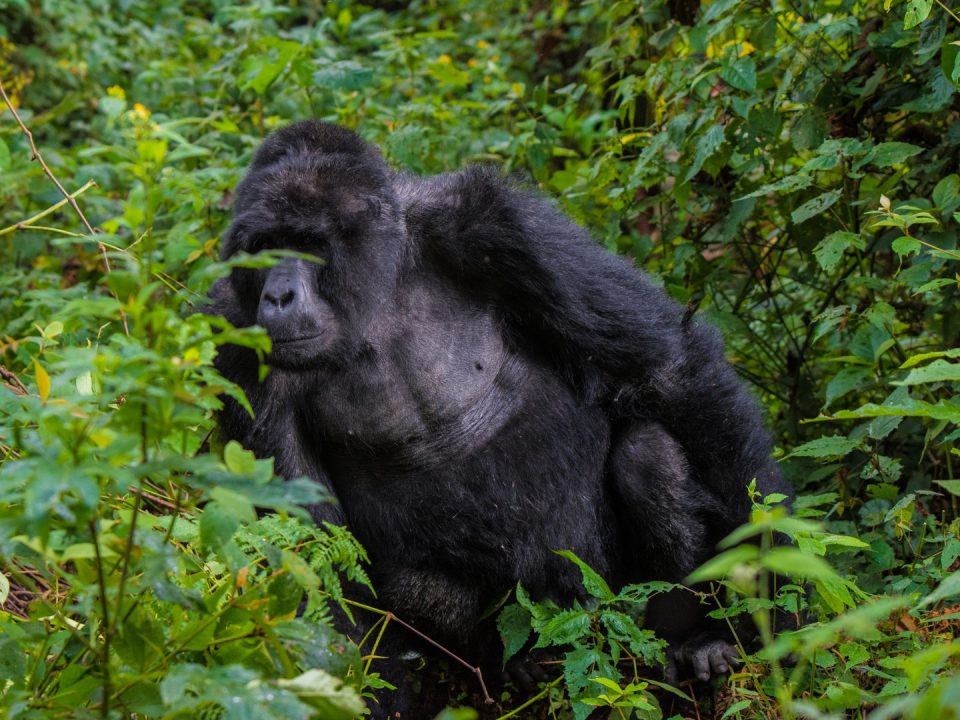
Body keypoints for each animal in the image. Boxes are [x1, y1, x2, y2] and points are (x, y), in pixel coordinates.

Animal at [208, 121, 788, 716]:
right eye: (260, 250)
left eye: (307, 245)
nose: (277, 295)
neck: (379, 285)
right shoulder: (233, 331)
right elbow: (313, 552)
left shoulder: (495, 226)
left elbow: (669, 370)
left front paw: (773, 614)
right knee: (424, 588)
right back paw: (519, 662)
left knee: (648, 456)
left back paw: (692, 636)